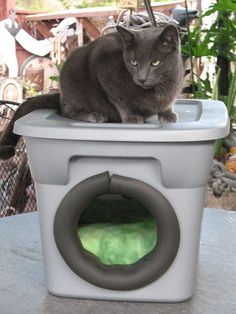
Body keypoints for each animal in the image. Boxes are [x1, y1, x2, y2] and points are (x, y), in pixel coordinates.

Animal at [0, 24, 183, 159]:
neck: (157, 89)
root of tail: (61, 95)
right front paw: (132, 117)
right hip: (73, 81)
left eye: (155, 63)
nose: (141, 79)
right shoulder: (104, 72)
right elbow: (120, 101)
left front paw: (168, 114)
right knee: (66, 111)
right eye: (133, 62)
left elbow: (169, 103)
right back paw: (94, 115)